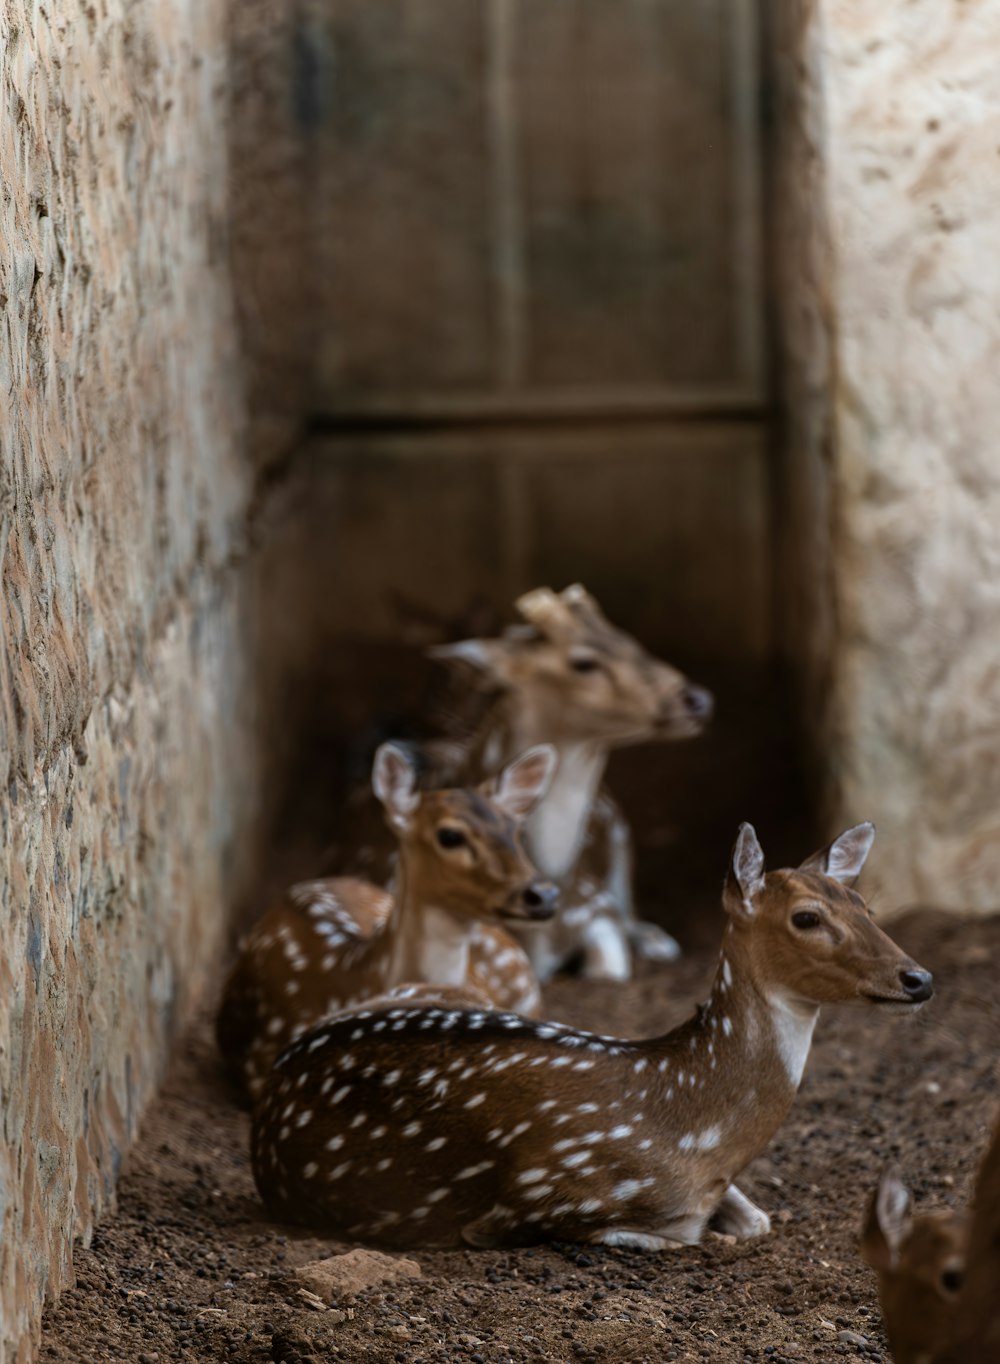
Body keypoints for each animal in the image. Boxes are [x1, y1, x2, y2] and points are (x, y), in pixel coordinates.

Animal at [253, 812, 933, 1249]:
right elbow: (675, 1237)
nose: (919, 977)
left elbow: (750, 1220)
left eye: (867, 906)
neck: (694, 1137)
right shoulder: (542, 1200)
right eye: (807, 918)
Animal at [327, 583, 709, 982]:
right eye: (584, 662)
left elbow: (609, 969)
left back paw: (657, 939)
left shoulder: (595, 903)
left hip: (618, 831)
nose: (698, 699)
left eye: (628, 638)